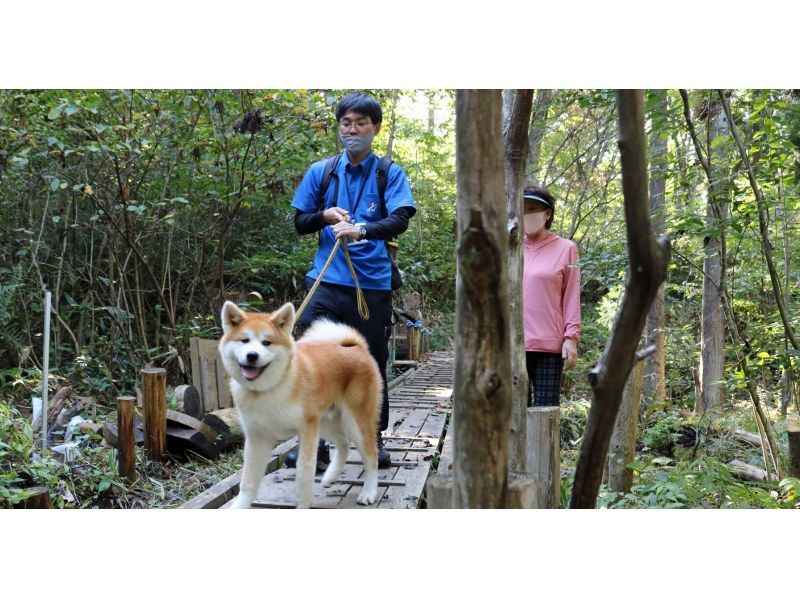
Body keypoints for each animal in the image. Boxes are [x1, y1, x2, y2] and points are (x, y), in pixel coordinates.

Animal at [217, 302, 382, 508]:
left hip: (354, 422)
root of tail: (356, 347)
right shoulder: (257, 437)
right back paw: (330, 476)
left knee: (371, 456)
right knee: (343, 443)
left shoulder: (307, 430)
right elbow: (247, 481)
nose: (252, 356)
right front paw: (240, 506)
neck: (271, 388)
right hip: (325, 423)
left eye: (266, 343)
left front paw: (302, 505)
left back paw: (369, 492)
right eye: (244, 340)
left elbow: (304, 475)